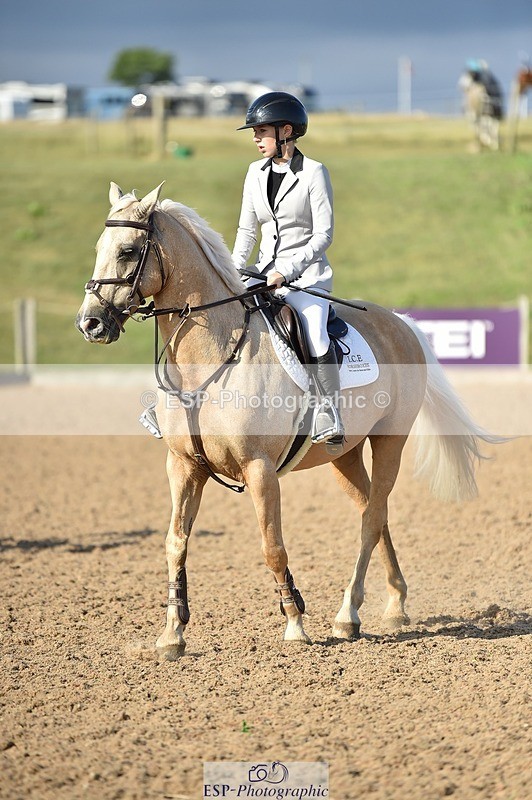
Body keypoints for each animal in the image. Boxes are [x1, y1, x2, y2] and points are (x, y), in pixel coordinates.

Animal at [76, 182, 499, 659]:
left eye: (128, 251)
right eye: (100, 248)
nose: (90, 323)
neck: (209, 360)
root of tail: (401, 323)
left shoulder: (259, 468)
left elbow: (272, 546)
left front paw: (295, 623)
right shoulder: (183, 467)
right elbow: (175, 543)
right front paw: (172, 634)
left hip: (391, 440)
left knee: (372, 519)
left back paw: (347, 615)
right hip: (344, 455)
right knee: (375, 511)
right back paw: (394, 604)